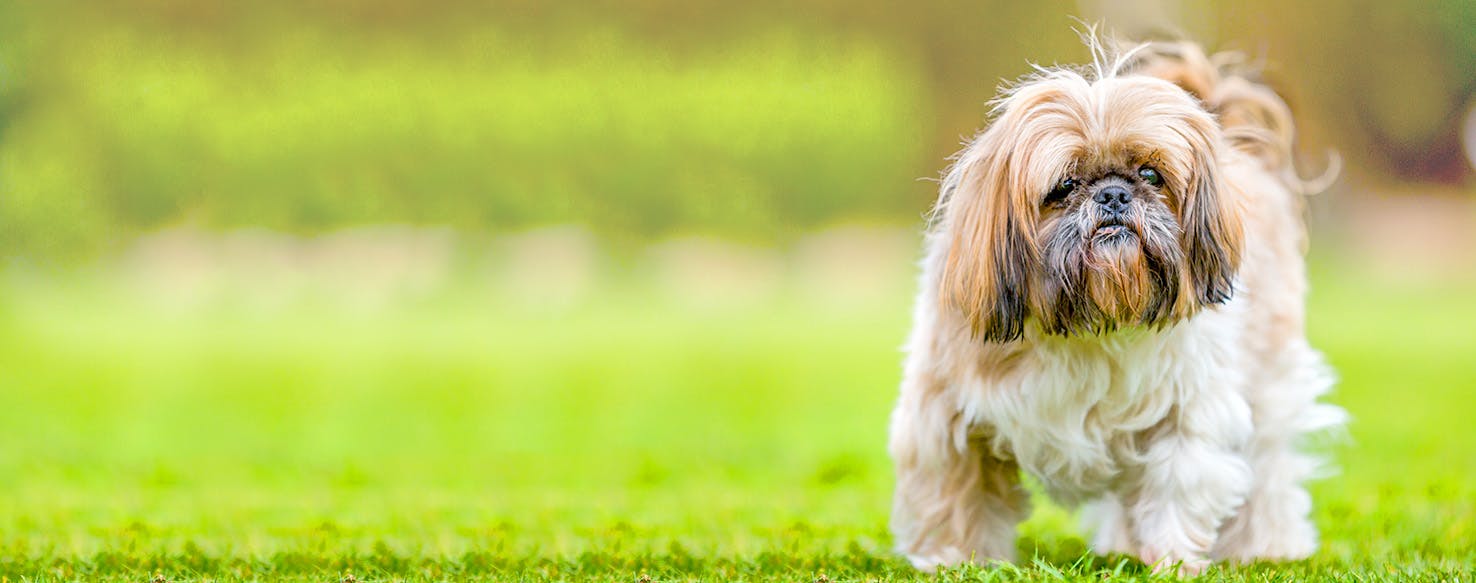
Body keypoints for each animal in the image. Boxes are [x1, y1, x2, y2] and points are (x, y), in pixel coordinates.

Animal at [885, 35, 1352, 575]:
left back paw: (1264, 545)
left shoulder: (1188, 413)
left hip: (1268, 387)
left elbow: (1177, 487)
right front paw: (953, 560)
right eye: (1064, 186)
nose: (1113, 194)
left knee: (1269, 469)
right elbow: (955, 494)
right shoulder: (944, 417)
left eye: (1151, 174)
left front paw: (1172, 561)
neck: (1089, 320)